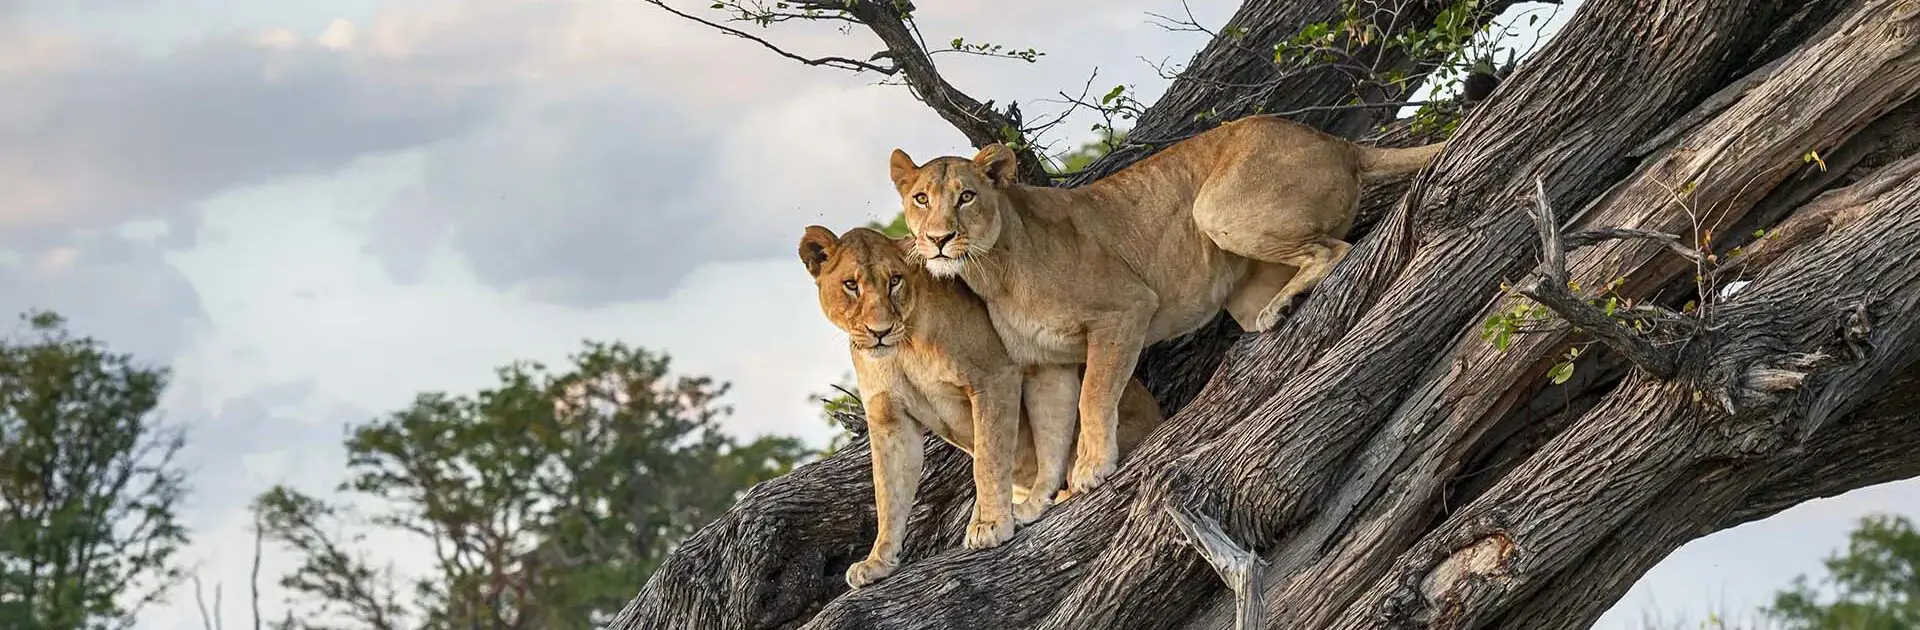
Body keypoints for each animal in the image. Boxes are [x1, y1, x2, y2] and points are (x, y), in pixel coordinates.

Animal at [798, 225, 1164, 589]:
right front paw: (878, 561)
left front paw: (989, 524)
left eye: (895, 281)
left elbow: (988, 459)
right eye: (851, 285)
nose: (880, 331)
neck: (903, 346)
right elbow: (888, 491)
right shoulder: (889, 418)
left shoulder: (994, 377)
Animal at [888, 113, 1446, 494]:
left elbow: (1095, 397)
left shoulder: (1125, 309)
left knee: (1335, 250)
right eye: (921, 199)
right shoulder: (1046, 362)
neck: (991, 271)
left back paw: (1282, 307)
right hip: (1238, 277)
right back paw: (1279, 308)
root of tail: (1339, 143)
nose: (938, 239)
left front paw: (1091, 468)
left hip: (1216, 209)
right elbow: (1053, 427)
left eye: (966, 197)